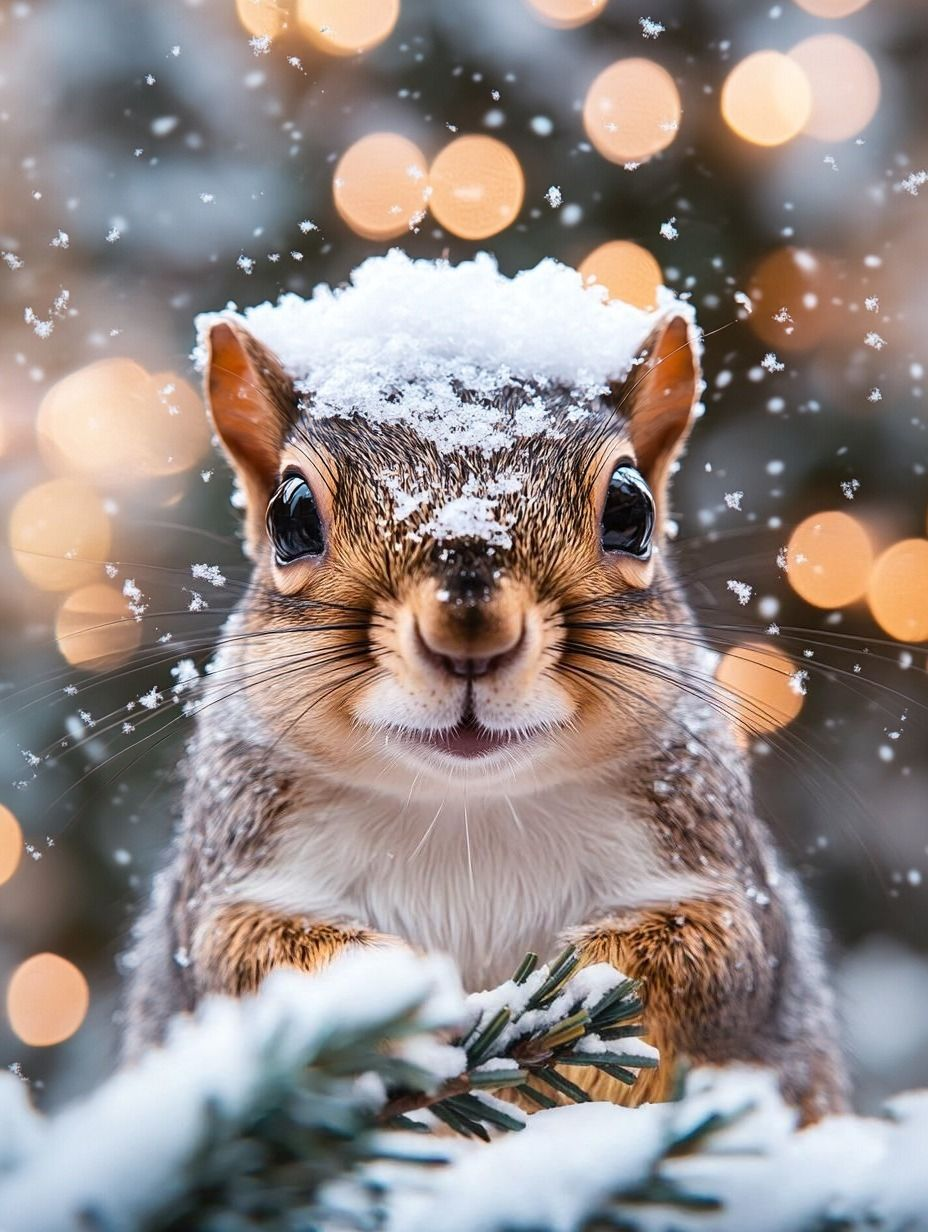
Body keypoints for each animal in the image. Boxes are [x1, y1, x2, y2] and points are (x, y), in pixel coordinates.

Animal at [123, 256, 848, 1124]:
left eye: (631, 509)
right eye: (292, 516)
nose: (469, 632)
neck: (467, 811)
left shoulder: (730, 886)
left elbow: (698, 966)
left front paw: (569, 1010)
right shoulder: (219, 890)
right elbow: (244, 960)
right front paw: (401, 998)